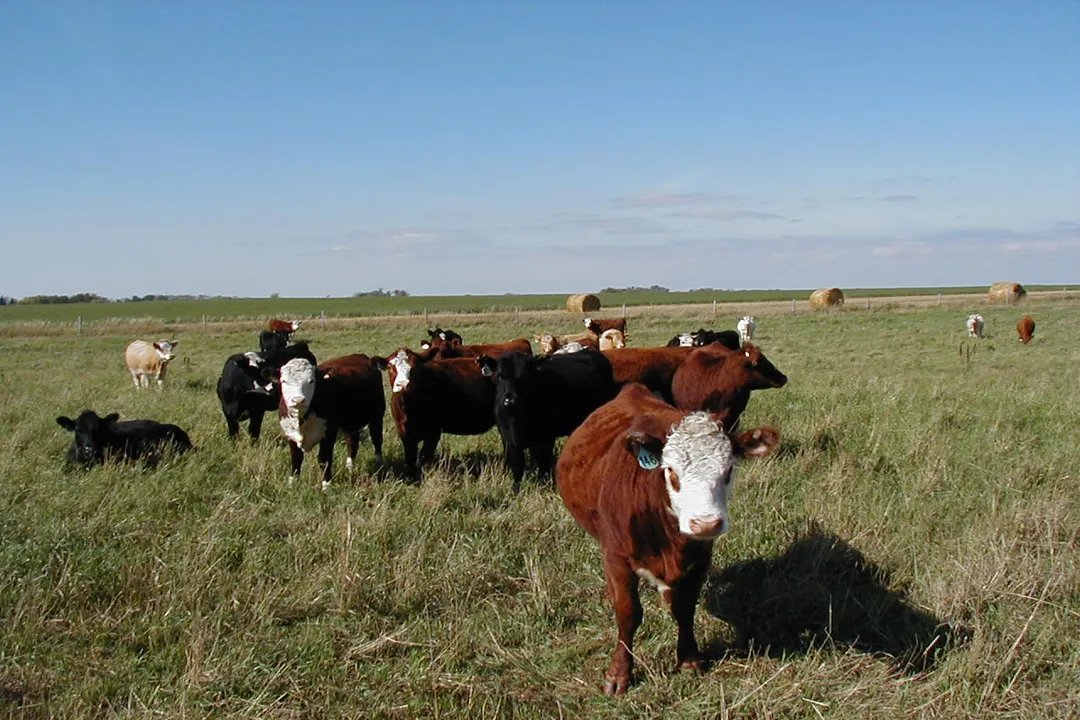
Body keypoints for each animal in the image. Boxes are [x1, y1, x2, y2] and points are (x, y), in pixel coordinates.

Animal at [273, 354, 385, 490]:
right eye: (283, 381)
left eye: (311, 381)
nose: (298, 400)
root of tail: (365, 357)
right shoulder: (290, 434)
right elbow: (296, 458)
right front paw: (292, 483)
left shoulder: (328, 433)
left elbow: (324, 459)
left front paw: (326, 486)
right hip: (351, 424)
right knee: (352, 443)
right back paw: (350, 467)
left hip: (377, 416)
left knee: (377, 439)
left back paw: (379, 465)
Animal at [373, 349, 495, 481]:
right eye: (391, 367)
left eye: (416, 367)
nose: (403, 384)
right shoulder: (404, 432)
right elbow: (410, 457)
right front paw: (411, 479)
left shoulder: (433, 432)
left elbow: (423, 458)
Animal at [477, 350, 616, 493]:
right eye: (499, 376)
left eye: (524, 377)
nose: (509, 401)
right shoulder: (508, 437)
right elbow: (517, 465)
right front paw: (515, 491)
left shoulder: (546, 437)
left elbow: (543, 463)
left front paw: (543, 488)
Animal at [556, 383, 779, 695]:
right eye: (671, 472)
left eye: (729, 470)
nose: (705, 523)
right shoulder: (616, 557)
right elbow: (628, 613)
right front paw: (619, 674)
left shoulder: (699, 560)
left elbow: (685, 609)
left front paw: (689, 658)